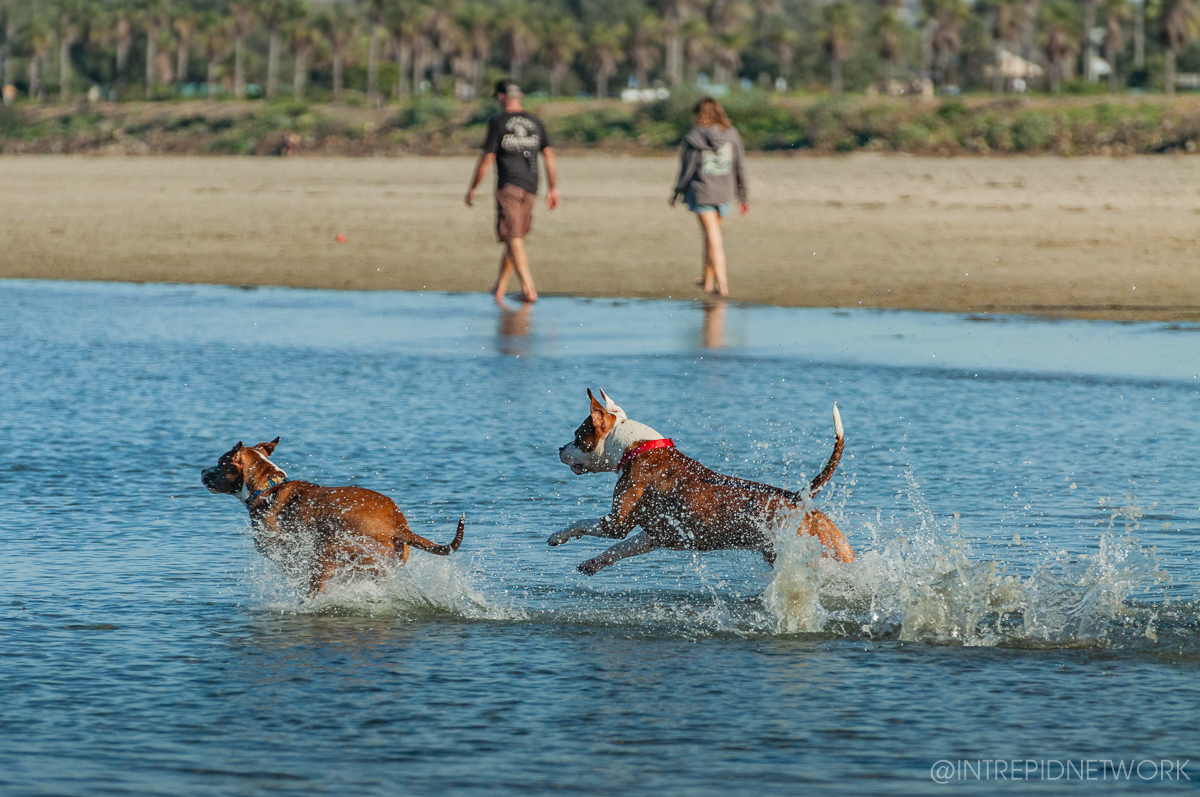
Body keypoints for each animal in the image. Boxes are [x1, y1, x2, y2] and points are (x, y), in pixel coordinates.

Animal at [201, 439, 463, 595]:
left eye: (219, 463)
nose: (202, 470)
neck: (268, 488)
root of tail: (398, 526)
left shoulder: (281, 549)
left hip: (329, 550)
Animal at [552, 391, 854, 573]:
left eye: (578, 436)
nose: (559, 448)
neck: (637, 447)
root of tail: (798, 499)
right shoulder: (654, 535)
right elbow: (618, 549)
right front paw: (593, 563)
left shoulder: (616, 523)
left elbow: (582, 523)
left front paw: (558, 535)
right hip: (836, 549)